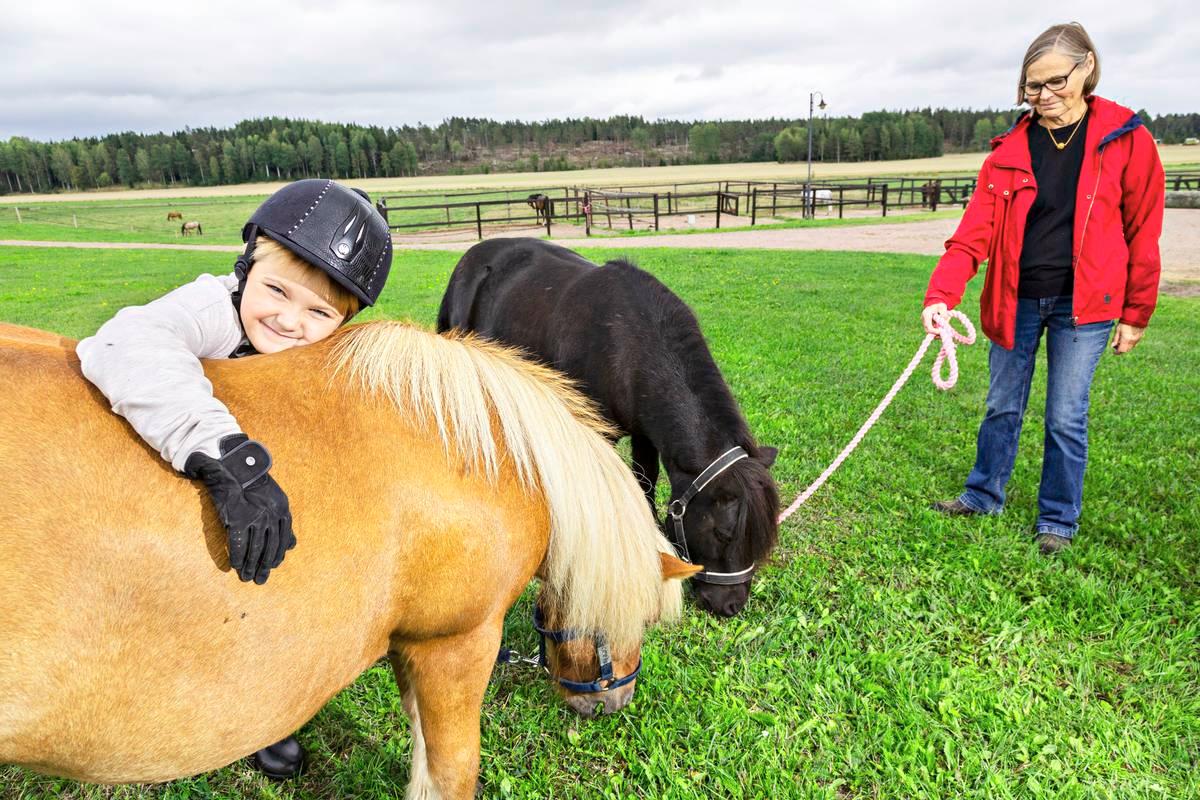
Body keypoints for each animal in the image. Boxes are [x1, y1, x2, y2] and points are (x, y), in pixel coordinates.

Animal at [0, 321, 696, 800]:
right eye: (637, 617)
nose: (609, 705)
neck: (489, 451)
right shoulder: (456, 645)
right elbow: (450, 773)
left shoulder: (409, 647)